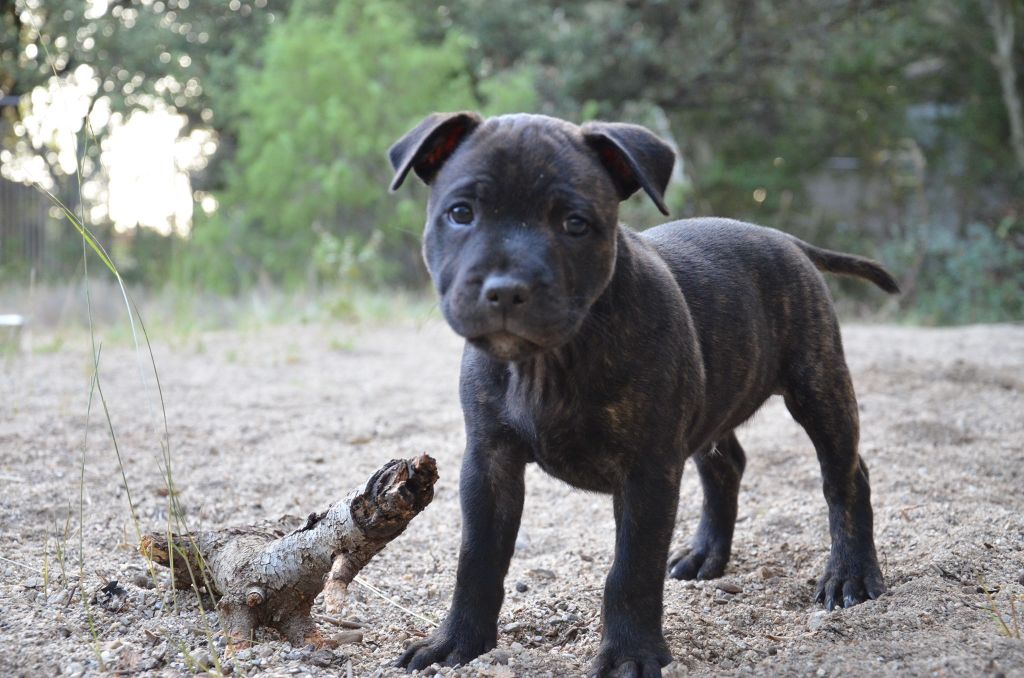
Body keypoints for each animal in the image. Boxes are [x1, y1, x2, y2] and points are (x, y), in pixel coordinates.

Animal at [387, 114, 892, 675]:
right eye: (461, 213)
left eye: (576, 224)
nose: (506, 288)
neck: (549, 360)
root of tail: (787, 241)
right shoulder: (489, 461)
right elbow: (477, 558)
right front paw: (456, 642)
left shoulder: (647, 471)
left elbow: (631, 569)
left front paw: (630, 654)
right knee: (727, 465)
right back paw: (705, 555)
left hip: (818, 388)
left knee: (845, 477)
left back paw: (849, 575)